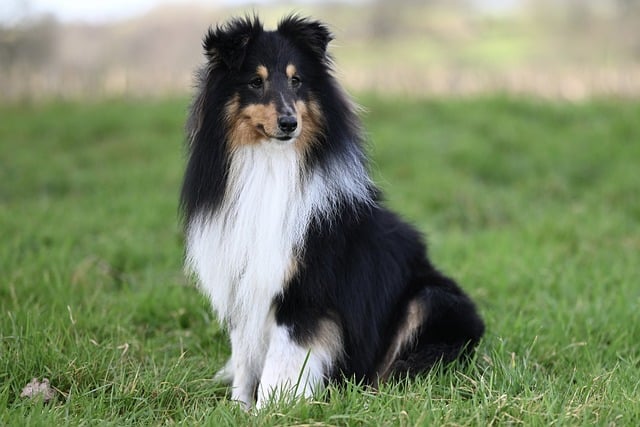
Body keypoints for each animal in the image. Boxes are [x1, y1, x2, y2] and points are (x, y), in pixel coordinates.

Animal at [178, 15, 482, 410]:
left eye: (296, 80)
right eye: (256, 82)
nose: (289, 123)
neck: (270, 165)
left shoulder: (304, 294)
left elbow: (280, 366)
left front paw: (267, 411)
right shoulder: (243, 283)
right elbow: (245, 358)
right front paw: (237, 408)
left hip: (431, 298)